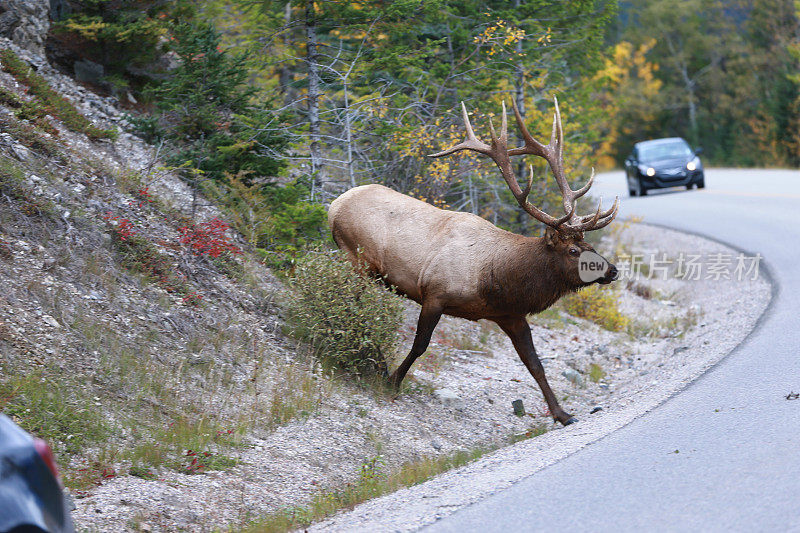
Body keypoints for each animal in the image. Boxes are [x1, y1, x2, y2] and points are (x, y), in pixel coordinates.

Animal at [326, 98, 620, 424]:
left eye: (589, 245)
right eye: (572, 251)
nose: (612, 270)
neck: (495, 281)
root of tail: (335, 204)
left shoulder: (510, 315)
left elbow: (534, 363)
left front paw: (562, 413)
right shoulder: (435, 293)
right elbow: (420, 345)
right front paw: (393, 381)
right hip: (357, 260)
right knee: (353, 307)